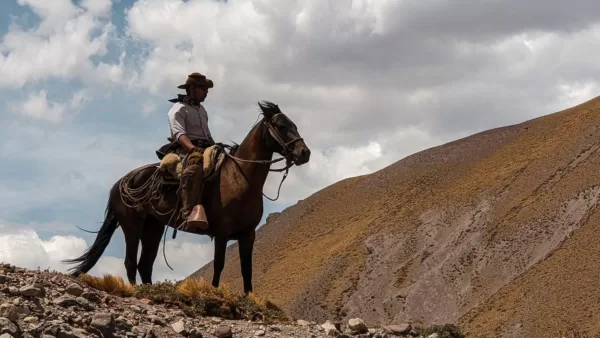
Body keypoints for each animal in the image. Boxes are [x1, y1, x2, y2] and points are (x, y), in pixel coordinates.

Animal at [63, 101, 312, 294]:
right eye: (281, 125)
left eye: (294, 124)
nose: (304, 153)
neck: (240, 177)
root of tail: (120, 183)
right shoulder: (222, 232)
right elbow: (219, 265)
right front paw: (215, 293)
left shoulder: (248, 234)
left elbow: (246, 269)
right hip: (132, 226)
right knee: (131, 262)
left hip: (153, 227)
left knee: (145, 264)